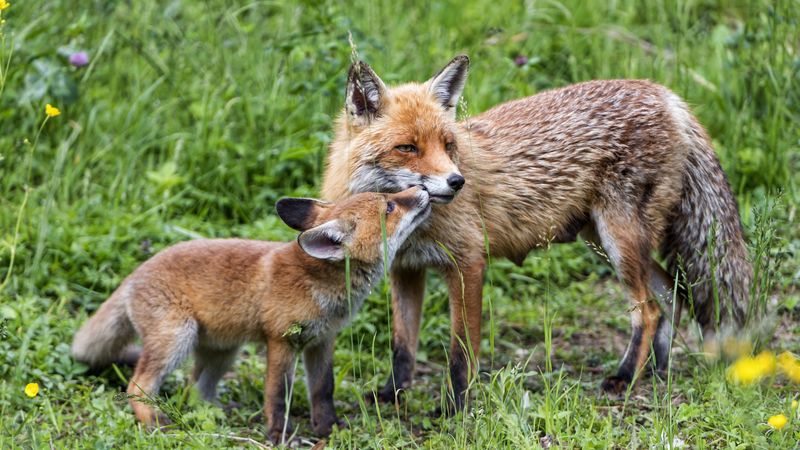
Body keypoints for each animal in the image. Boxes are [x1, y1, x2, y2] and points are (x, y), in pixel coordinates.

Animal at [71, 187, 431, 443]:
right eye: (390, 207)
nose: (423, 188)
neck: (317, 283)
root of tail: (132, 276)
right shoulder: (281, 341)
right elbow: (277, 395)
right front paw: (280, 436)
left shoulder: (322, 340)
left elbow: (322, 390)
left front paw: (327, 429)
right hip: (177, 339)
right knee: (137, 385)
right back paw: (157, 422)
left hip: (223, 352)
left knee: (196, 389)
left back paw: (218, 411)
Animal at [321, 55, 753, 410]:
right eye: (407, 148)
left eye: (448, 144)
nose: (457, 182)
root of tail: (665, 94)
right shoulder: (405, 270)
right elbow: (402, 347)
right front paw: (391, 396)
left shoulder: (467, 263)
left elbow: (461, 353)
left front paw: (454, 407)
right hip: (607, 242)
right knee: (671, 299)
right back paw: (656, 373)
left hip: (619, 240)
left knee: (647, 310)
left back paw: (624, 377)